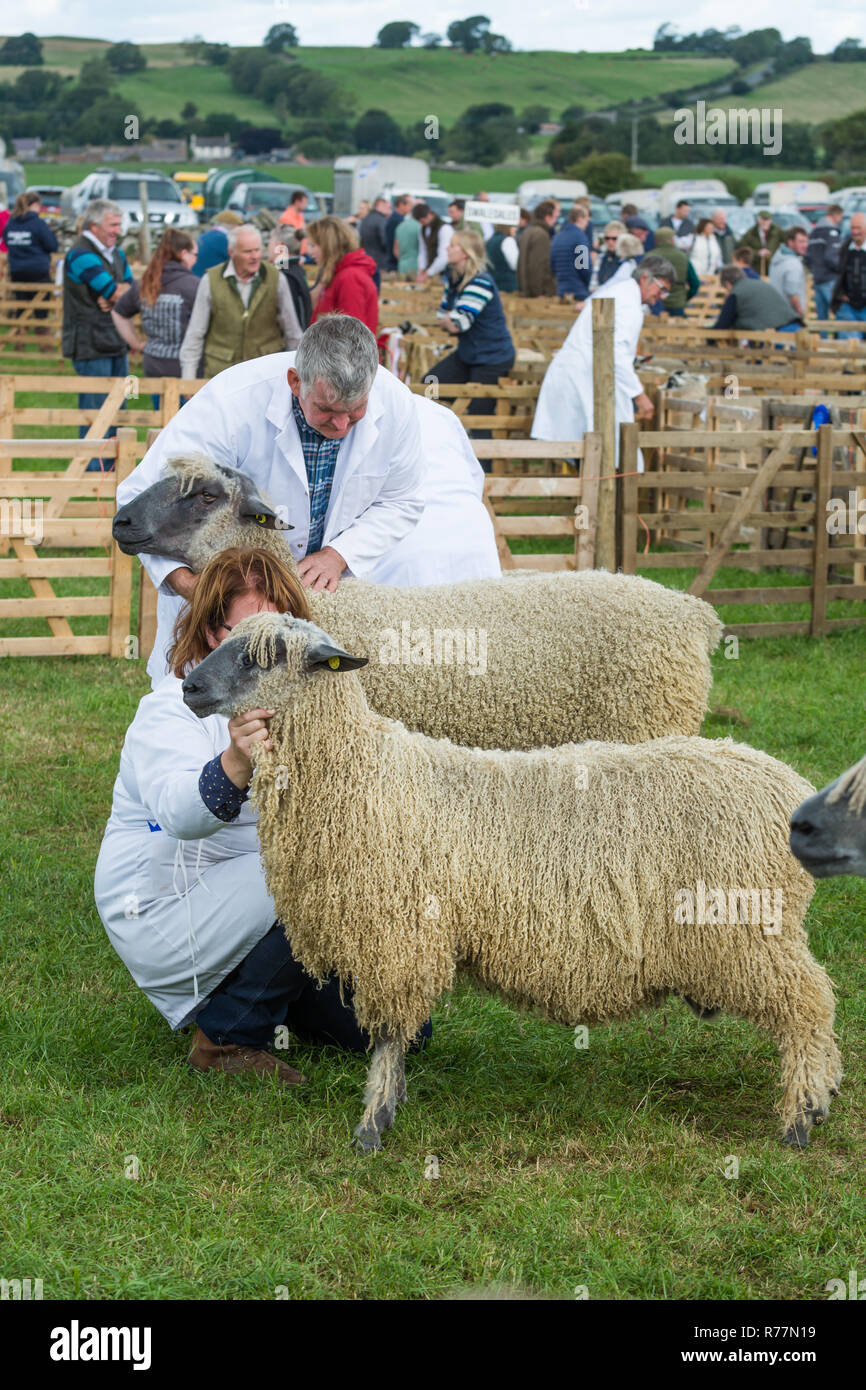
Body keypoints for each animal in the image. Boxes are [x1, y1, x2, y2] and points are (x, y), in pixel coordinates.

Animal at [180, 617, 839, 1150]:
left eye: (265, 656)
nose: (188, 686)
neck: (362, 773)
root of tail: (789, 788)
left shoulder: (399, 936)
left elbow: (389, 1035)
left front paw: (373, 1123)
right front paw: (387, 1106)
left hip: (749, 928)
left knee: (810, 1004)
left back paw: (801, 1117)